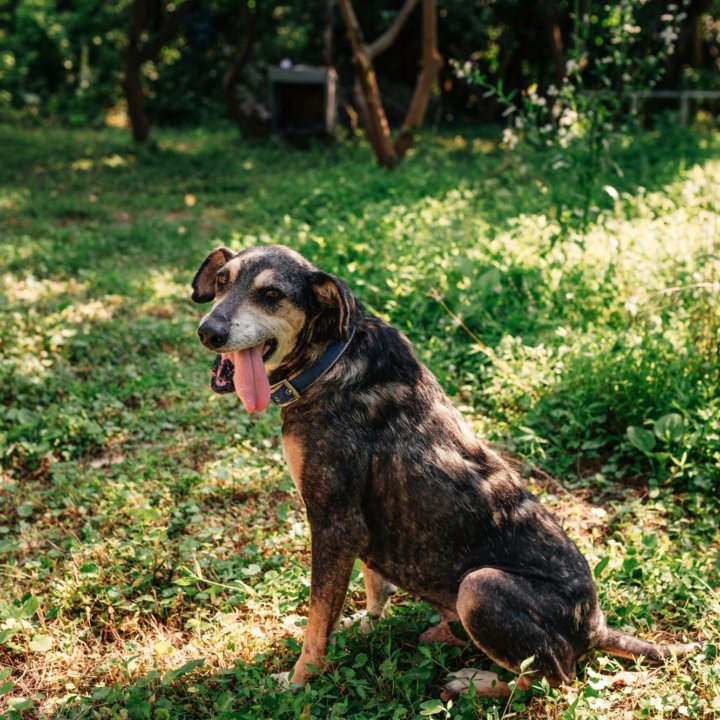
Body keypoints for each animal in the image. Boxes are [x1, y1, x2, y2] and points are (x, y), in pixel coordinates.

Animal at [191, 243, 696, 696]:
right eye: (223, 282)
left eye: (271, 294)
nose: (207, 332)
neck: (329, 360)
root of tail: (595, 626)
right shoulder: (359, 529)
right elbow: (370, 586)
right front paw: (364, 625)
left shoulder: (335, 522)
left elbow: (316, 624)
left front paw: (299, 682)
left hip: (479, 587)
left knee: (557, 679)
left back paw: (476, 682)